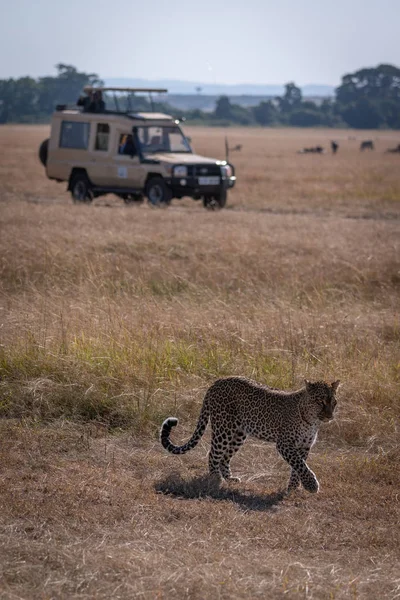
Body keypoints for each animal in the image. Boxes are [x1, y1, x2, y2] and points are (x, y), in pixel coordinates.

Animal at [161, 378, 340, 494]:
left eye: (334, 402)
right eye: (320, 402)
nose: (330, 416)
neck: (312, 420)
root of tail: (216, 382)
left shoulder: (304, 446)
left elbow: (298, 467)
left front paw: (293, 488)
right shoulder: (284, 444)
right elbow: (300, 465)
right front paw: (312, 486)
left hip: (239, 433)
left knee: (224, 457)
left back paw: (230, 479)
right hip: (223, 429)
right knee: (213, 454)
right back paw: (216, 479)